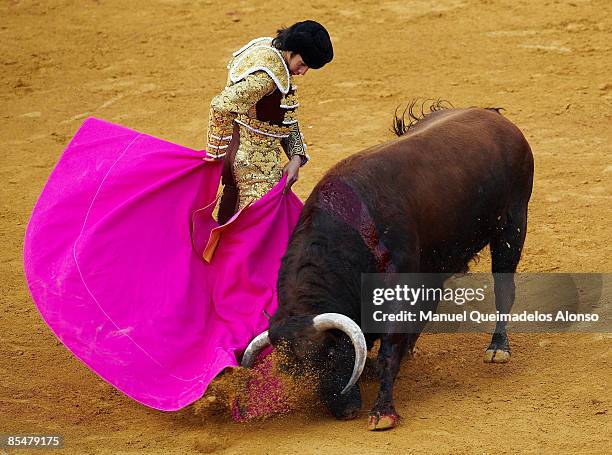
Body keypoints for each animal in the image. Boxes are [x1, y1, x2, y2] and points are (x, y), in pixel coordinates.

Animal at [241, 107, 532, 432]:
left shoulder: (398, 286)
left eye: (331, 352)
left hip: (512, 226)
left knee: (504, 288)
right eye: (292, 369)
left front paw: (383, 412)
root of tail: (496, 116)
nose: (345, 410)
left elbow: (389, 348)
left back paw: (498, 348)